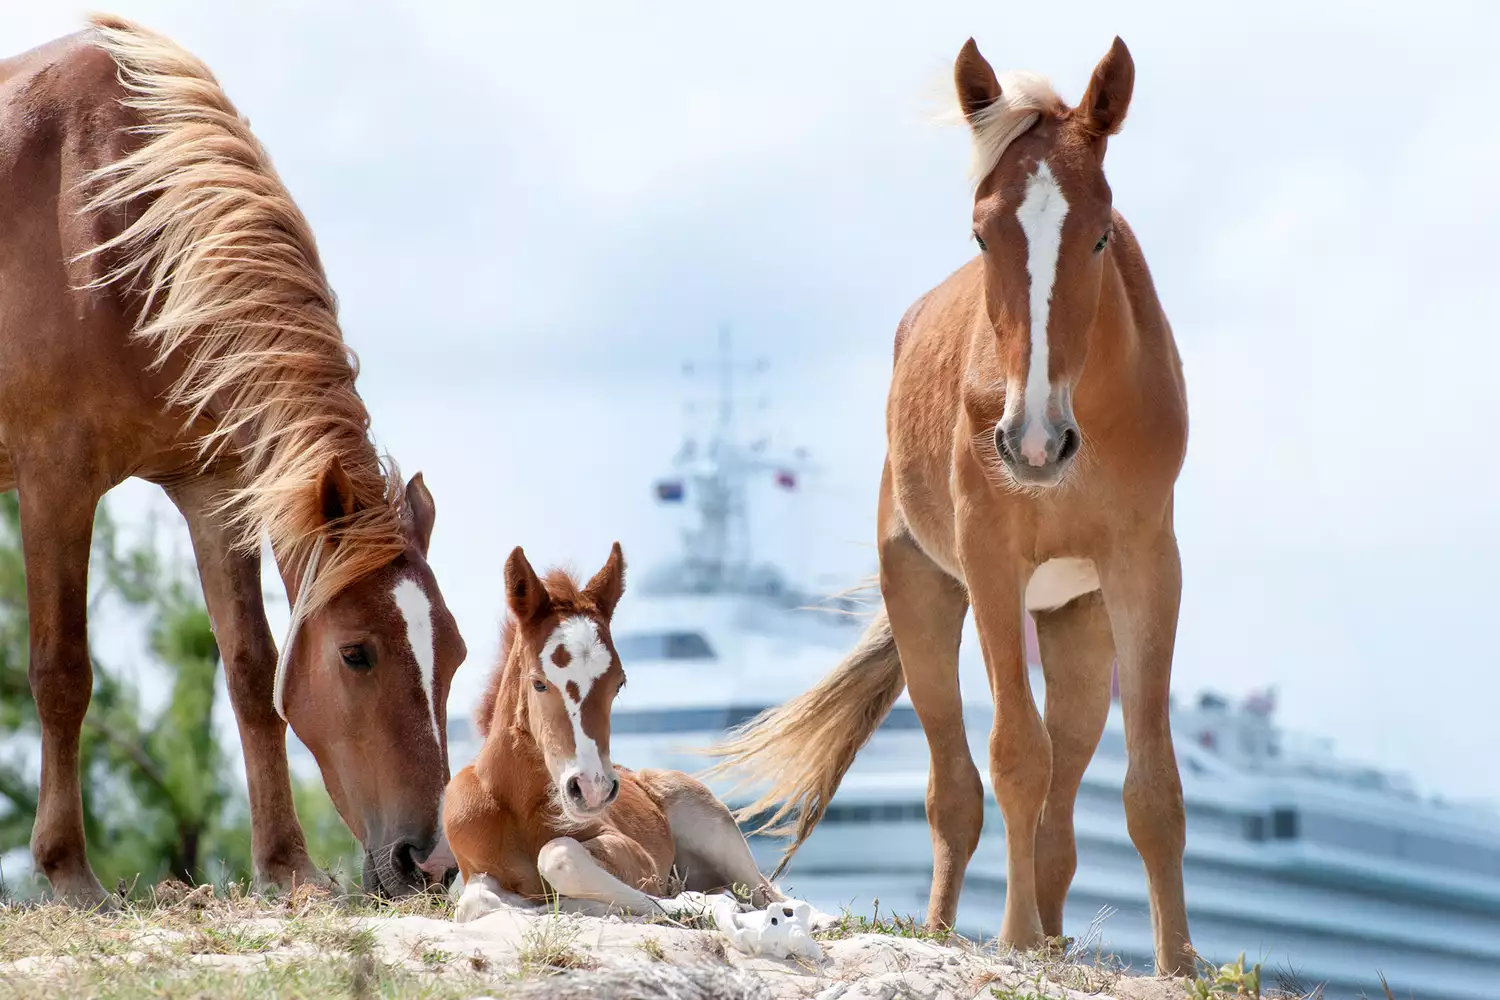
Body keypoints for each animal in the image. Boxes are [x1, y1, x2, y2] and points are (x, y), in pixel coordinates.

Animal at [0, 13, 465, 905]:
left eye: (453, 653)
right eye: (357, 653)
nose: (429, 863)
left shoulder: (215, 492)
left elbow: (253, 670)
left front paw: (288, 866)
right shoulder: (55, 485)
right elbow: (62, 672)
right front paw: (68, 872)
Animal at [444, 542, 780, 929]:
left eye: (619, 683)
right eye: (539, 682)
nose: (593, 789)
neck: (519, 805)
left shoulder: (638, 860)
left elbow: (558, 855)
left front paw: (693, 905)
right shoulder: (473, 870)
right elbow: (475, 902)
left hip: (714, 825)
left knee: (773, 897)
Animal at [705, 37, 1194, 971]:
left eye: (1101, 234)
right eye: (981, 232)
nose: (1033, 442)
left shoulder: (1146, 565)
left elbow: (1150, 784)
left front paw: (1179, 963)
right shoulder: (990, 560)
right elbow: (1012, 756)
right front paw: (1012, 938)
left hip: (1078, 626)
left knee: (1063, 795)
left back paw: (1055, 937)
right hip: (925, 598)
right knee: (955, 790)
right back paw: (955, 931)